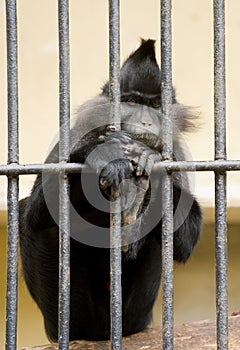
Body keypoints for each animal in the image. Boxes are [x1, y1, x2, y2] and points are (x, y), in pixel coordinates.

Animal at [19, 39, 202, 342]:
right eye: (132, 102)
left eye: (155, 105)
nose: (146, 121)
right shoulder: (76, 133)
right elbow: (35, 211)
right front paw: (104, 154)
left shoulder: (174, 151)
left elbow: (187, 239)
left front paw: (148, 160)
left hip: (137, 317)